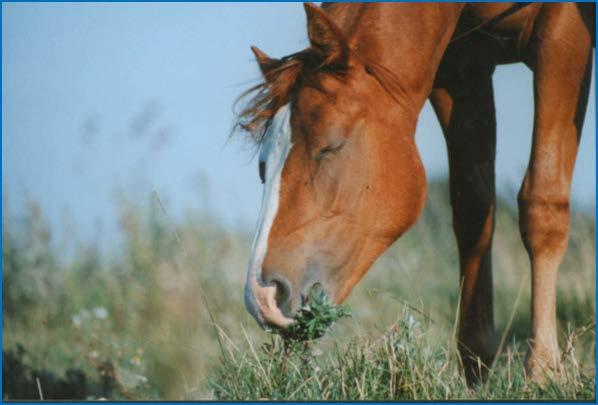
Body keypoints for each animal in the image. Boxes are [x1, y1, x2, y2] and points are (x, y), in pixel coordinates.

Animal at [239, 2, 596, 382]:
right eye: (263, 165)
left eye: (329, 147)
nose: (263, 297)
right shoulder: (461, 65)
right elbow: (474, 214)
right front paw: (477, 371)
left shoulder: (562, 35)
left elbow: (541, 204)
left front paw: (543, 371)